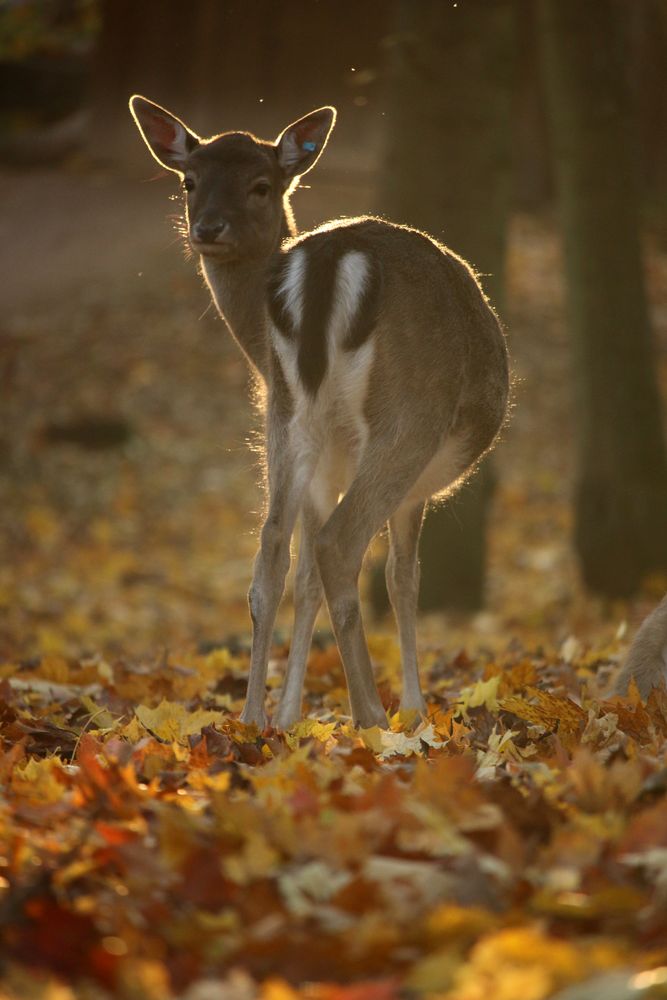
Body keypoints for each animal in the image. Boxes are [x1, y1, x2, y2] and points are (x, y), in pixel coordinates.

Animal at [128, 97, 508, 732]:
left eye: (260, 184)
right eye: (189, 181)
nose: (207, 228)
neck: (252, 348)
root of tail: (329, 259)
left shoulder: (314, 456)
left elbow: (302, 578)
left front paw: (287, 716)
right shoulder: (412, 486)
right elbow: (402, 578)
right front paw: (415, 708)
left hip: (286, 418)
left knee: (269, 550)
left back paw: (252, 718)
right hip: (407, 419)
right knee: (341, 544)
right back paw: (372, 716)